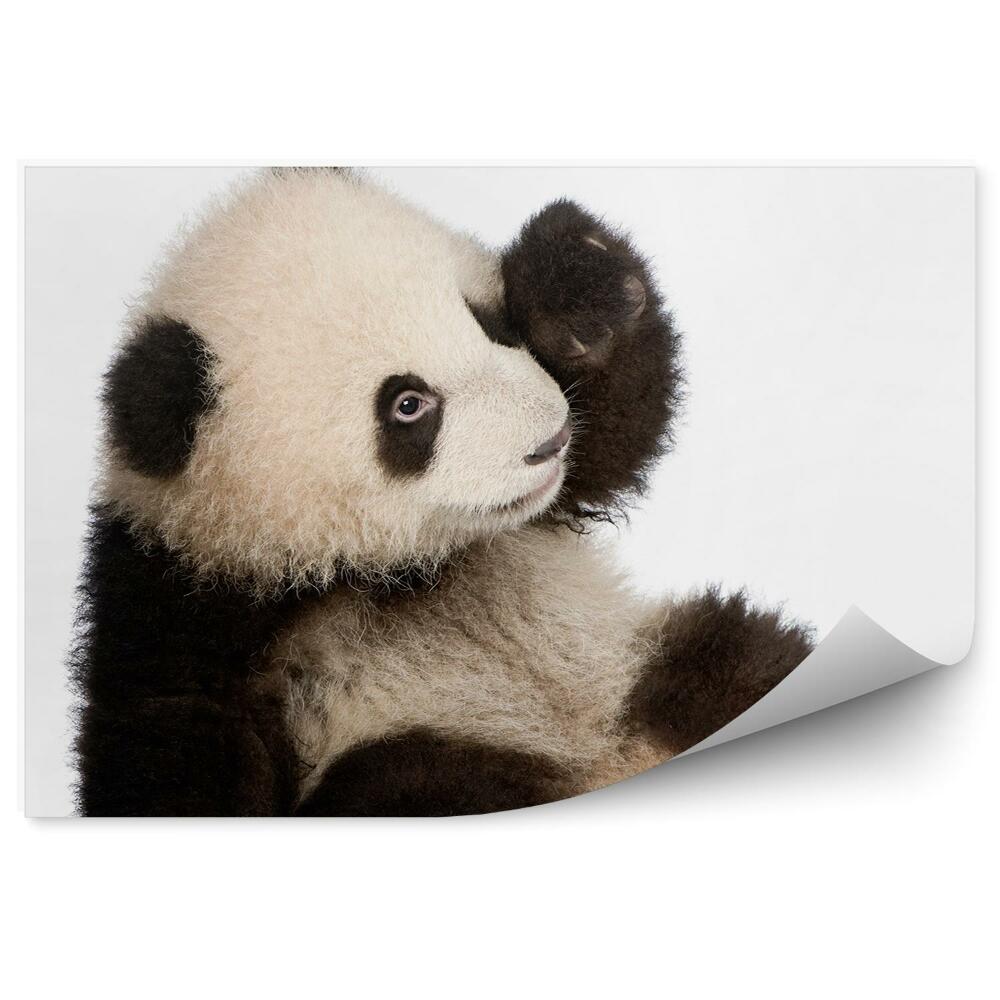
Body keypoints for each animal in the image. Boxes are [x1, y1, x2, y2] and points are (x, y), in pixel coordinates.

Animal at [71, 167, 813, 816]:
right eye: (408, 405)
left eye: (487, 320)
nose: (547, 441)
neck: (383, 568)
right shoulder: (183, 593)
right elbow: (172, 735)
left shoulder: (538, 511)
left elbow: (608, 437)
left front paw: (579, 277)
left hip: (639, 667)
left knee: (737, 656)